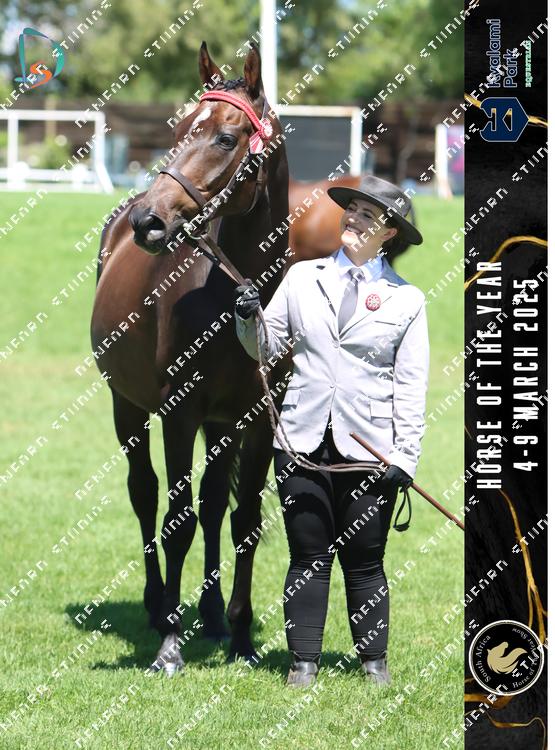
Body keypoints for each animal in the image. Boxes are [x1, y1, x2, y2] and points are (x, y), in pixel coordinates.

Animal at [91, 41, 290, 674]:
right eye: (178, 130)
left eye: (226, 138)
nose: (148, 222)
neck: (236, 295)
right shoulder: (177, 412)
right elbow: (175, 520)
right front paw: (170, 648)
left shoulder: (255, 418)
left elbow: (243, 520)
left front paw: (242, 637)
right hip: (127, 407)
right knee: (146, 493)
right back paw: (161, 608)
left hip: (219, 424)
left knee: (212, 505)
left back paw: (211, 616)